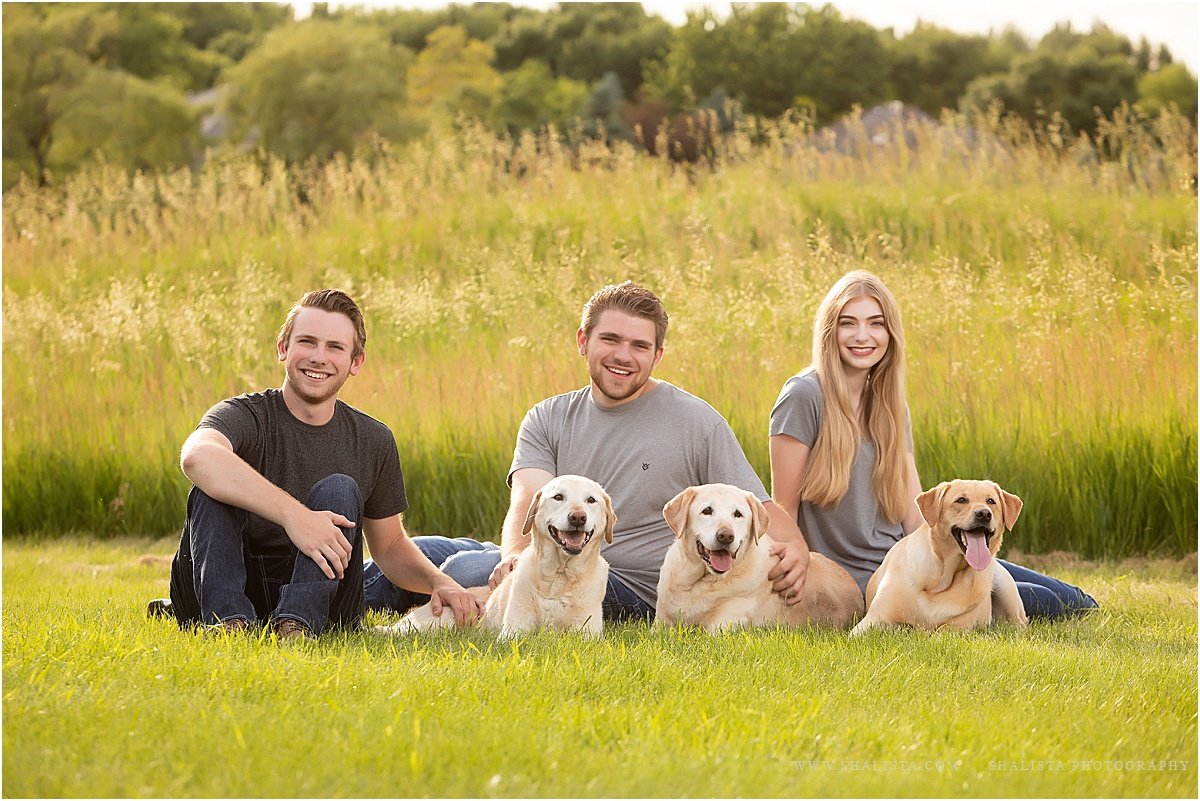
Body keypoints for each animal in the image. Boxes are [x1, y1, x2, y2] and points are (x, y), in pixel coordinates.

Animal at [379, 474, 614, 637]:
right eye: (558, 497)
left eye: (591, 500)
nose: (578, 517)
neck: (560, 576)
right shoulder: (514, 631)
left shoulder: (587, 635)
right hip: (437, 622)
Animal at [657, 482, 864, 633]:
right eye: (707, 510)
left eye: (738, 514)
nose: (726, 536)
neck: (699, 582)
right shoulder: (660, 624)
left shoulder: (723, 626)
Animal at [849, 479, 1027, 633]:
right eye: (961, 500)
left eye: (991, 501)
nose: (984, 513)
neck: (943, 579)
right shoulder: (874, 618)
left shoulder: (959, 628)